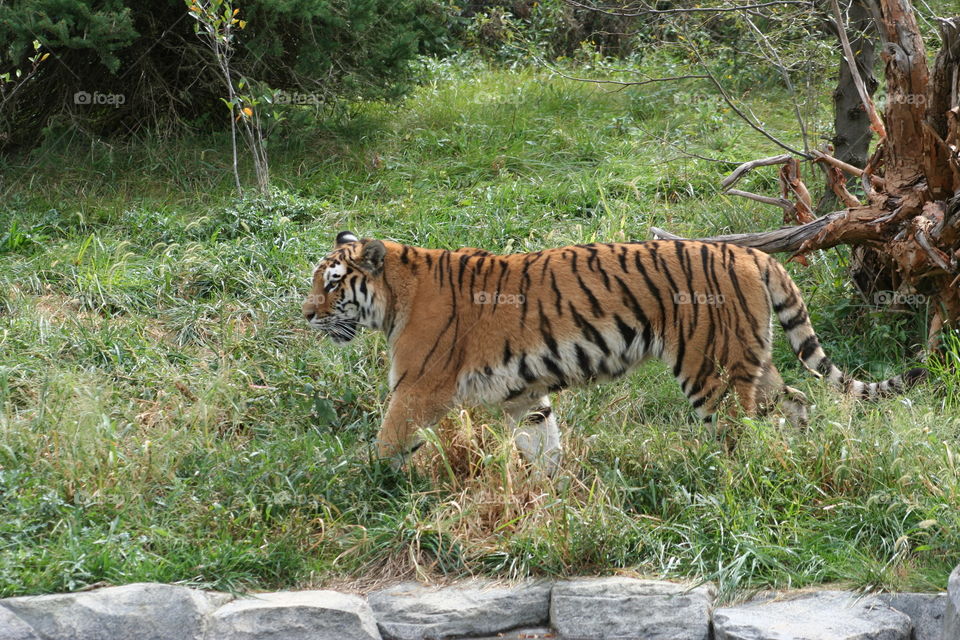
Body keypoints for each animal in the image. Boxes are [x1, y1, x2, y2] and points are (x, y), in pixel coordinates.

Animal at [302, 230, 925, 474]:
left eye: (331, 285)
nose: (306, 315)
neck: (394, 298)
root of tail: (755, 255)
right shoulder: (523, 394)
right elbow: (543, 443)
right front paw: (549, 493)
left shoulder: (417, 388)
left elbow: (386, 444)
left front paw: (363, 488)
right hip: (753, 359)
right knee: (796, 400)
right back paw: (799, 457)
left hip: (713, 372)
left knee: (740, 435)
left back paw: (729, 484)